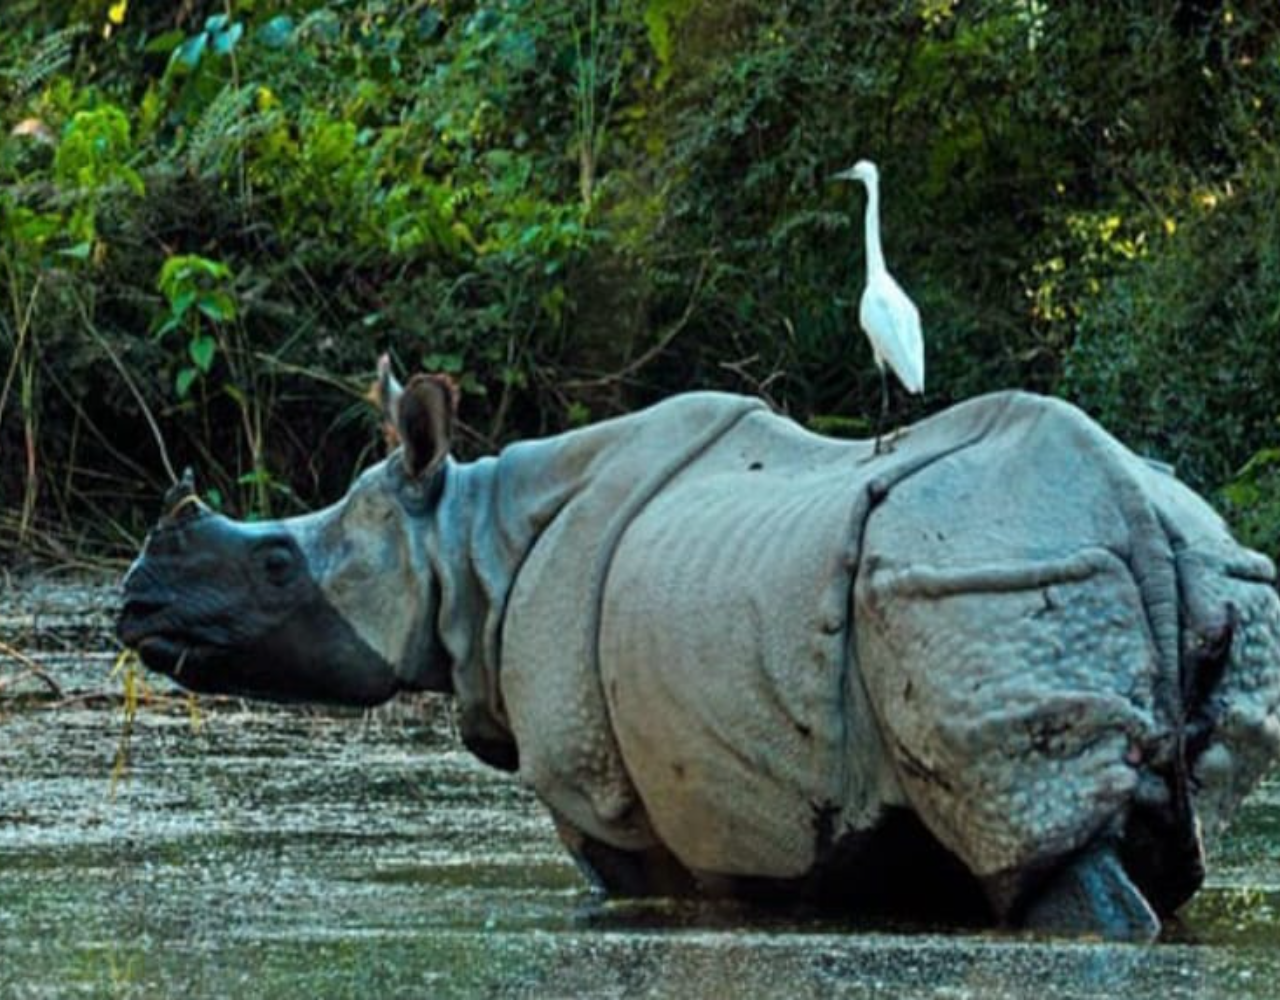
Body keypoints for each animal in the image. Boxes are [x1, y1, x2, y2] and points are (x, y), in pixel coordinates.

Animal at [117, 373, 1280, 941]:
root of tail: (1135, 515)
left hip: (981, 580)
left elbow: (619, 889)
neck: (465, 541)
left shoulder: (598, 789)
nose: (135, 604)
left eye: (277, 566)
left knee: (1045, 858)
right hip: (1209, 581)